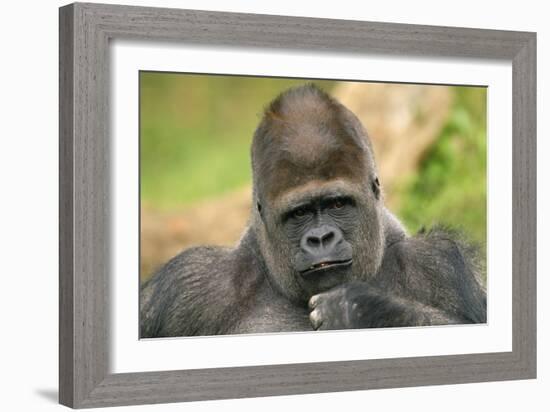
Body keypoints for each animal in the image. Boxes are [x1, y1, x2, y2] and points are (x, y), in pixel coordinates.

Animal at [141, 83, 488, 338]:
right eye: (300, 213)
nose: (320, 238)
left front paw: (360, 310)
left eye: (337, 204)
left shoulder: (438, 262)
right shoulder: (190, 282)